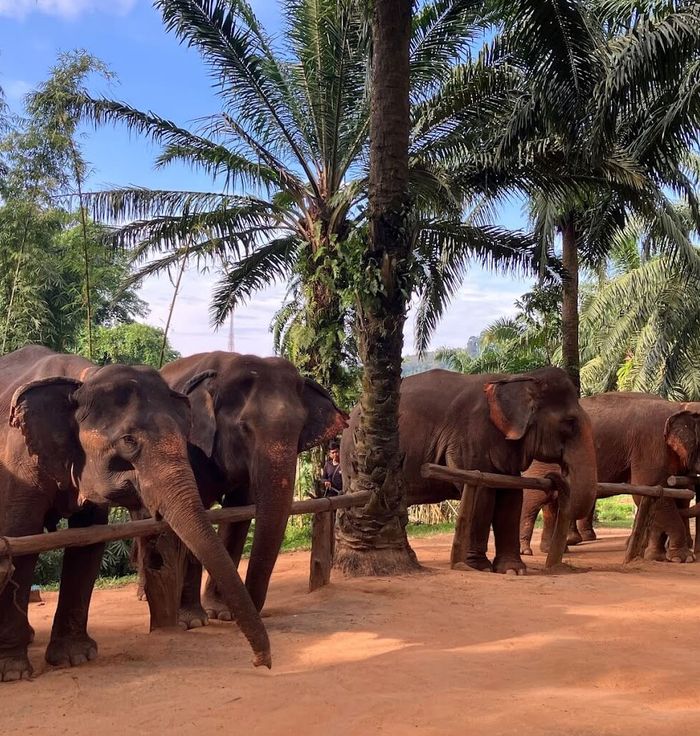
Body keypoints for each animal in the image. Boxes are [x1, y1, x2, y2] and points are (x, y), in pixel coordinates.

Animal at [0, 346, 271, 682]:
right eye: (129, 441)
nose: (261, 662)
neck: (82, 380)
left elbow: (88, 542)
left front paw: (76, 657)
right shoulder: (19, 462)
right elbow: (21, 536)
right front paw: (13, 672)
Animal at [156, 351, 347, 627]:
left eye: (300, 428)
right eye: (244, 428)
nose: (247, 613)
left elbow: (238, 515)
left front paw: (221, 612)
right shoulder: (188, 447)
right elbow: (192, 512)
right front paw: (193, 620)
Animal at [340, 366, 597, 574]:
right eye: (569, 423)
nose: (556, 476)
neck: (516, 379)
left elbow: (511, 496)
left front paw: (513, 570)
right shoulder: (468, 438)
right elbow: (482, 495)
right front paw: (480, 567)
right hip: (354, 459)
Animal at [520, 392, 700, 563]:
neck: (680, 406)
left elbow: (673, 494)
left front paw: (656, 556)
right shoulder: (652, 444)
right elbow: (650, 490)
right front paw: (683, 558)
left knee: (552, 501)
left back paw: (554, 549)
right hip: (540, 462)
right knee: (535, 499)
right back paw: (526, 551)